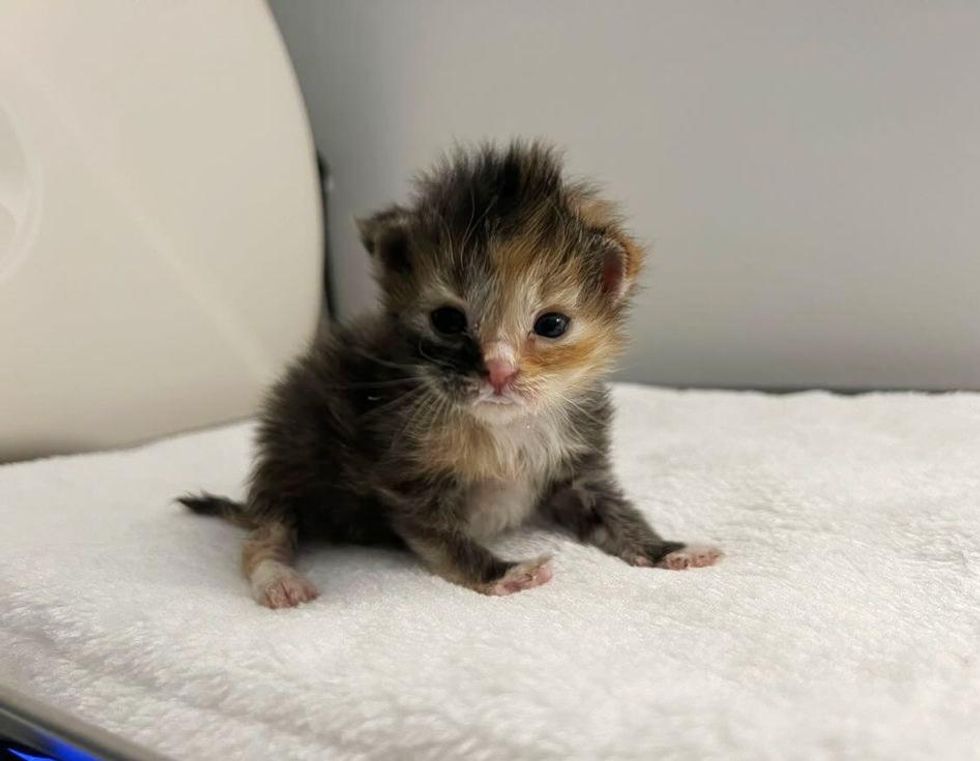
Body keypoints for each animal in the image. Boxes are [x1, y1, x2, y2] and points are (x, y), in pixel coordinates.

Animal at [182, 141, 720, 604]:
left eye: (551, 324)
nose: (499, 371)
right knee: (268, 531)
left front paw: (668, 550)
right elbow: (447, 542)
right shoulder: (409, 481)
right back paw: (278, 578)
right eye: (447, 320)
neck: (502, 431)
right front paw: (502, 573)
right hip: (289, 458)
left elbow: (617, 514)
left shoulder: (578, 469)